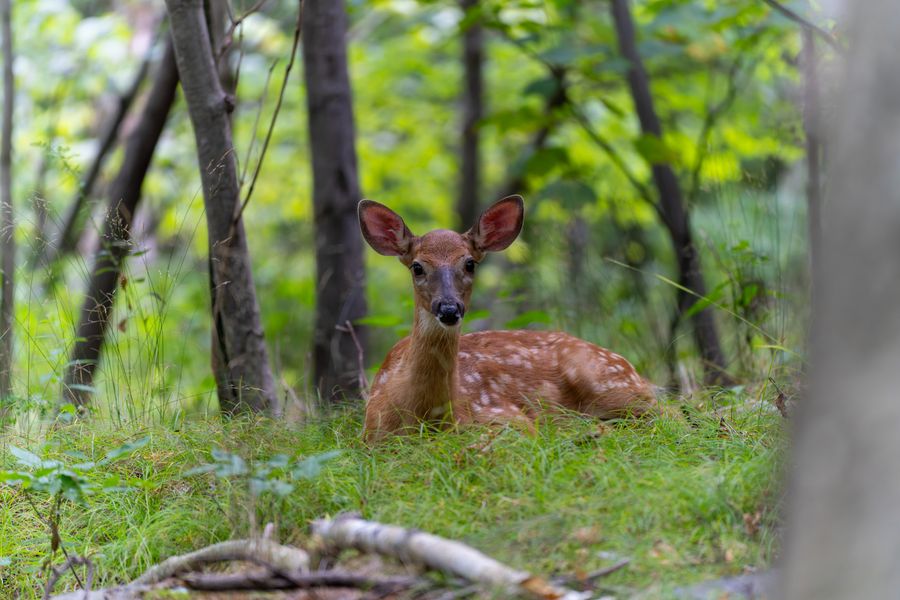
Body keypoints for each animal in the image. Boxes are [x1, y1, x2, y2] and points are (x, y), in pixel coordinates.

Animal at [358, 195, 656, 443]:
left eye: (470, 263)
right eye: (417, 267)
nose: (449, 309)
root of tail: (637, 374)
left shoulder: (504, 413)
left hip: (603, 378)